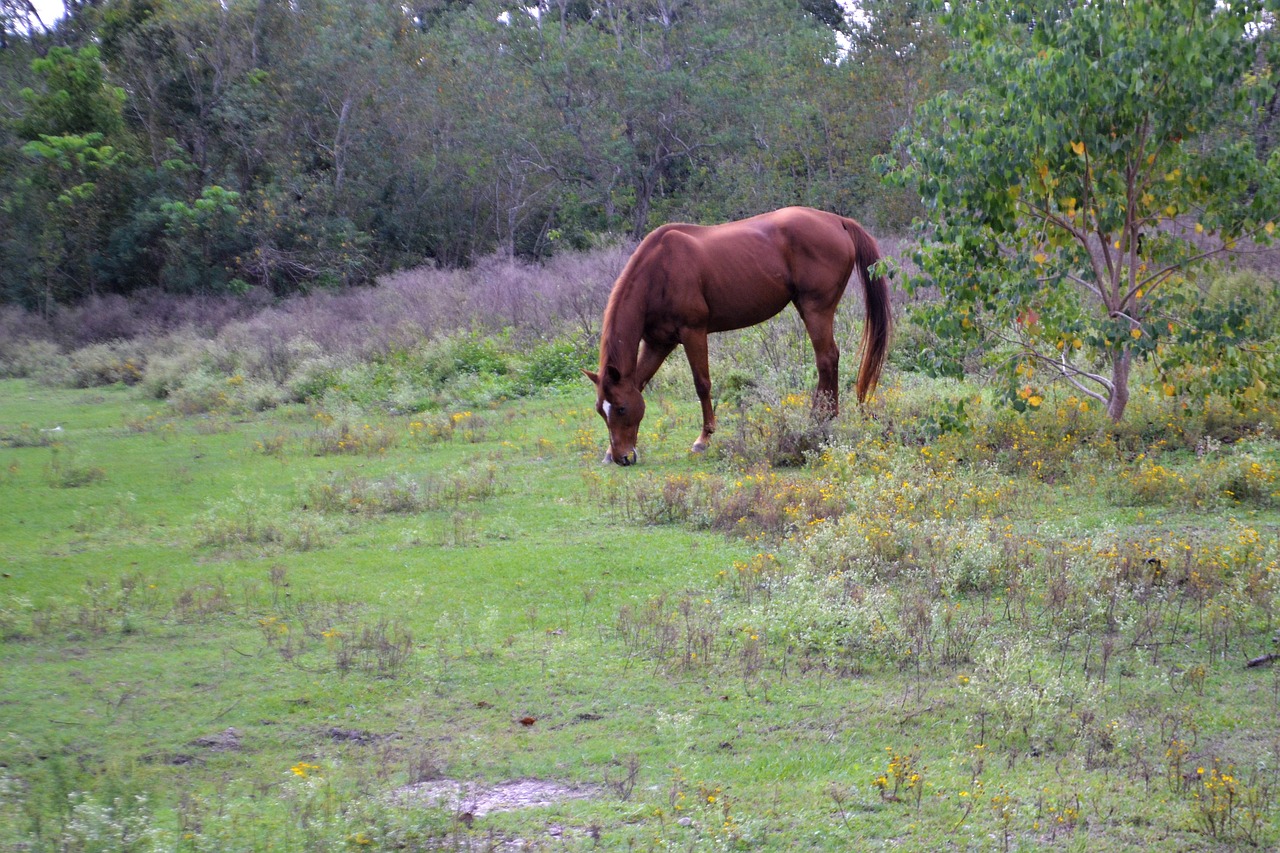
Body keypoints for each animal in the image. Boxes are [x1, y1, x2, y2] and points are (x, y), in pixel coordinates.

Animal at [586, 204, 896, 466]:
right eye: (601, 410)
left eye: (621, 409)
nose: (622, 457)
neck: (660, 269)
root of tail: (837, 221)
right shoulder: (658, 343)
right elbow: (640, 381)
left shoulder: (693, 332)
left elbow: (702, 384)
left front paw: (704, 439)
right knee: (828, 359)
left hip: (815, 308)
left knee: (827, 359)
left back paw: (820, 420)